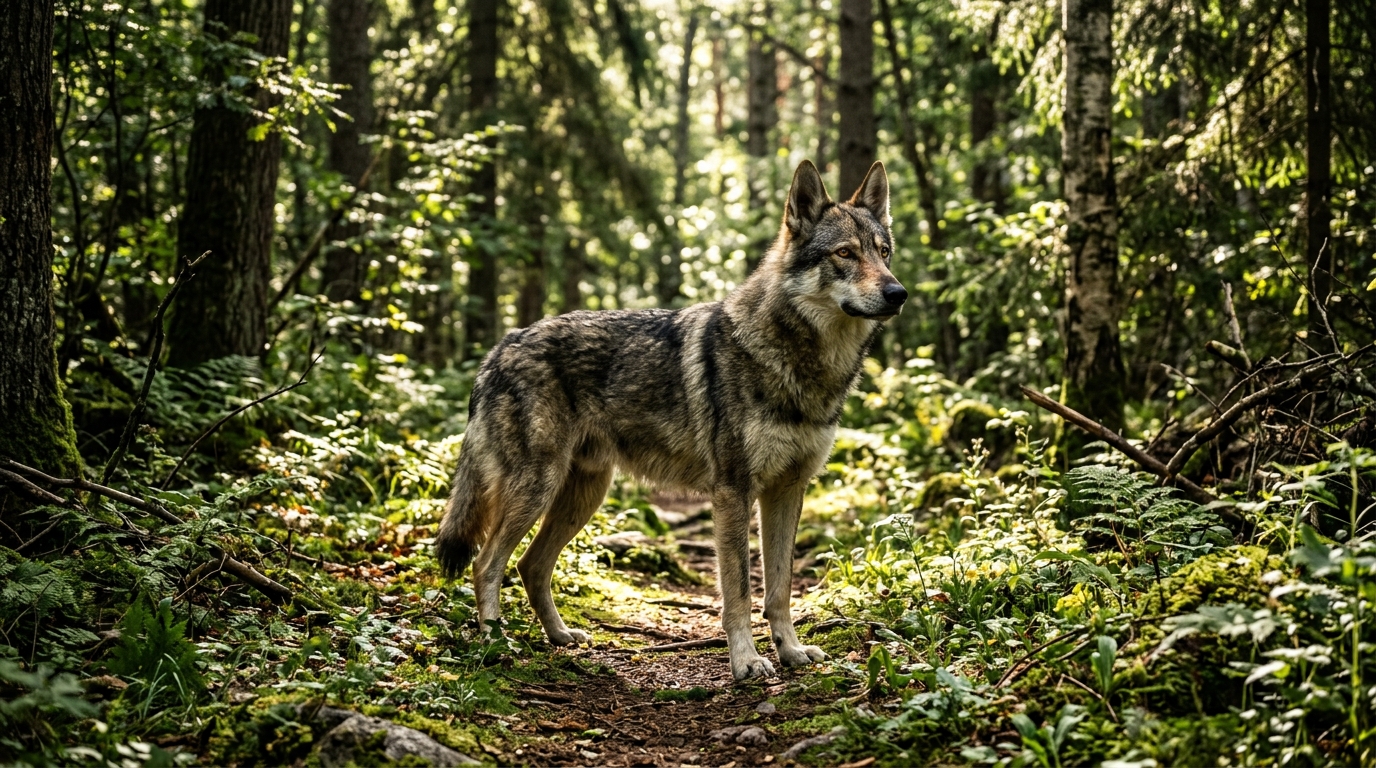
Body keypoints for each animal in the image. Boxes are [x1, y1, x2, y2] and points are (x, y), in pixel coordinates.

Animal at [434, 159, 906, 680]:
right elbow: (739, 591)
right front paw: (747, 661)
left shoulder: (787, 490)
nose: (898, 293)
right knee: (486, 564)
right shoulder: (733, 493)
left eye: (883, 252)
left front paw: (792, 651)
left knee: (530, 566)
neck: (802, 363)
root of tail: (500, 347)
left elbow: (779, 589)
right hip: (537, 489)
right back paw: (496, 645)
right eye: (845, 253)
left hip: (583, 496)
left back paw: (560, 637)